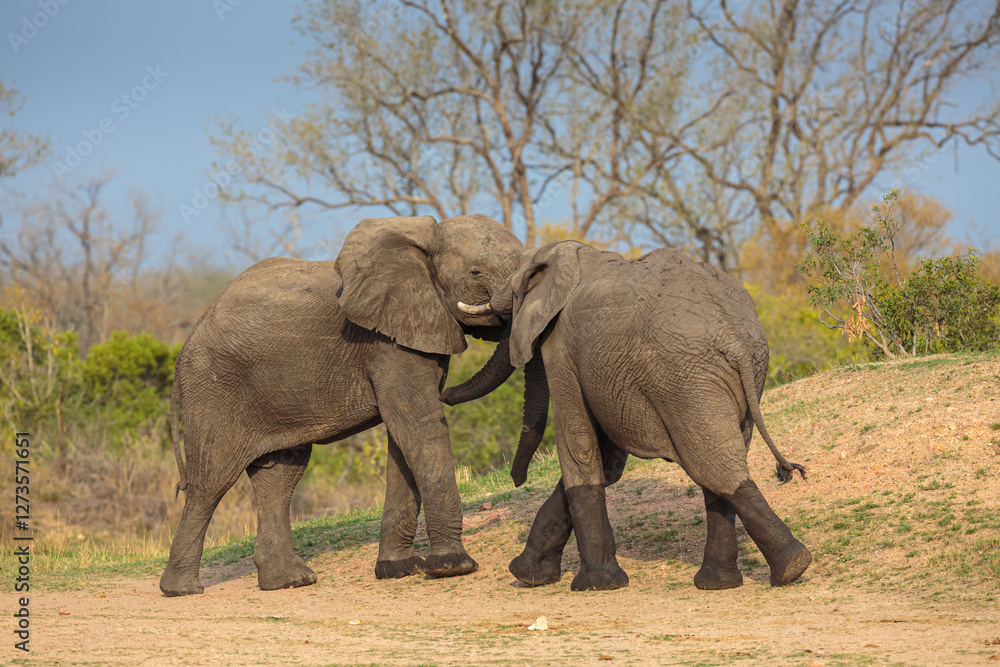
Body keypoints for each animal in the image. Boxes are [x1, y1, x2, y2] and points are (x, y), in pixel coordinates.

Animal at [159, 214, 524, 597]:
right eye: (476, 272)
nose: (448, 394)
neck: (425, 239)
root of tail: (187, 340)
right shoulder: (385, 342)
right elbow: (418, 425)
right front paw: (452, 567)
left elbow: (402, 438)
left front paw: (397, 570)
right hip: (214, 389)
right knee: (210, 481)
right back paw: (182, 590)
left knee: (280, 474)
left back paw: (290, 581)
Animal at [442, 240, 811, 591]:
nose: (444, 395)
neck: (573, 253)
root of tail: (735, 342)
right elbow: (606, 462)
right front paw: (529, 575)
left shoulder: (561, 347)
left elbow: (580, 445)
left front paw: (595, 585)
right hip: (734, 376)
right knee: (719, 460)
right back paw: (729, 581)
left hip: (684, 381)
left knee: (713, 466)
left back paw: (791, 567)